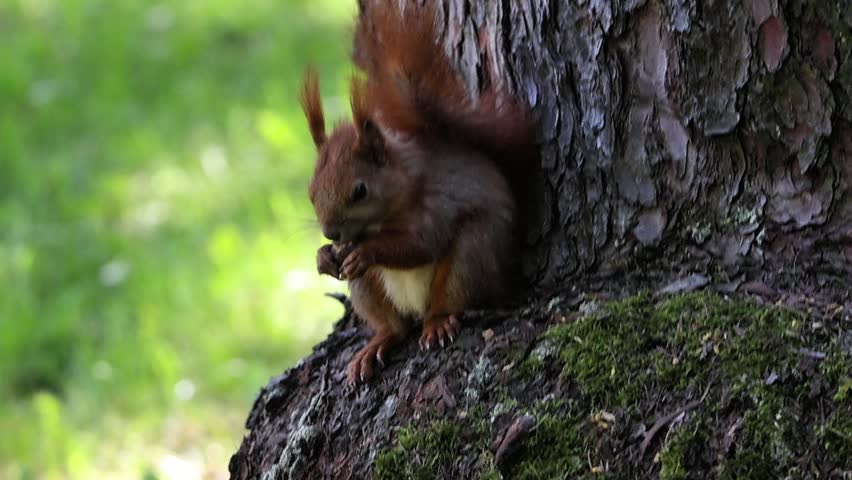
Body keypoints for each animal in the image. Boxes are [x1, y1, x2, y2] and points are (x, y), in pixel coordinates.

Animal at [301, 1, 535, 384]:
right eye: (310, 193)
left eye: (360, 191)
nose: (331, 233)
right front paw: (323, 257)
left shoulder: (435, 203)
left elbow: (421, 243)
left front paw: (366, 252)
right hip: (368, 290)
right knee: (393, 326)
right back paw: (375, 344)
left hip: (473, 254)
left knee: (449, 300)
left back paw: (437, 322)